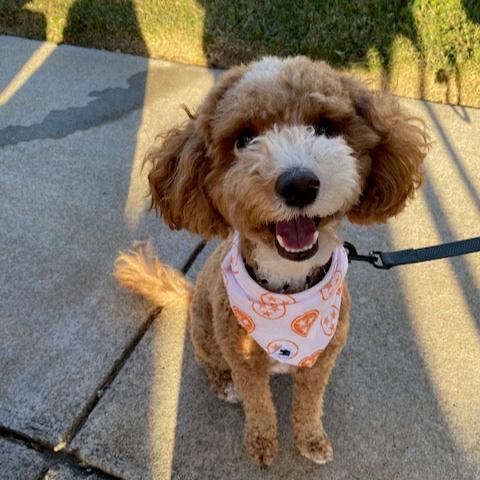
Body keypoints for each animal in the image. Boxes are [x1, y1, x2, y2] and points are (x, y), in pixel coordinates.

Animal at [115, 55, 428, 464]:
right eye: (245, 139)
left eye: (325, 127)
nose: (299, 185)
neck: (287, 288)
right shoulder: (245, 362)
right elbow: (259, 405)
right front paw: (262, 444)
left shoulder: (319, 364)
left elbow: (309, 405)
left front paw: (311, 440)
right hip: (207, 336)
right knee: (210, 363)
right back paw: (224, 385)